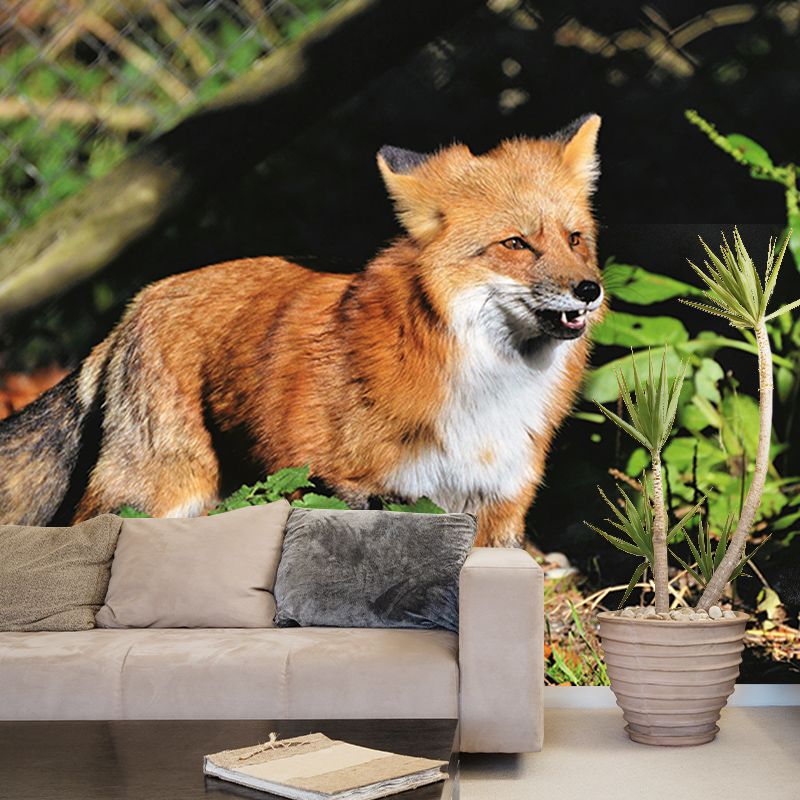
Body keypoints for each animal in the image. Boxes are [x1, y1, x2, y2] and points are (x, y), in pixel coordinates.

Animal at [0, 115, 605, 546]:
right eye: (516, 244)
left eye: (574, 238)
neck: (487, 389)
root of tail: (138, 301)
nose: (590, 290)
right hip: (156, 492)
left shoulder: (495, 506)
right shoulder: (343, 485)